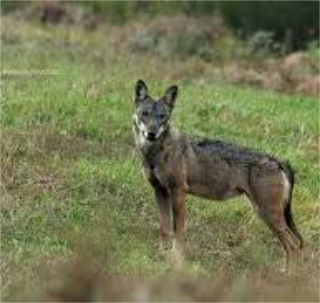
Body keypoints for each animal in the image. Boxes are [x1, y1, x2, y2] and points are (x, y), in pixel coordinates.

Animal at [132, 79, 302, 268]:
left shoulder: (178, 193)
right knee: (292, 246)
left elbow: (178, 231)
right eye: (145, 114)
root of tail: (279, 161)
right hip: (265, 214)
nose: (151, 134)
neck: (156, 152)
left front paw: (176, 259)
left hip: (268, 214)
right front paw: (161, 255)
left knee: (294, 245)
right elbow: (164, 228)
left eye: (162, 116)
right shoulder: (160, 191)